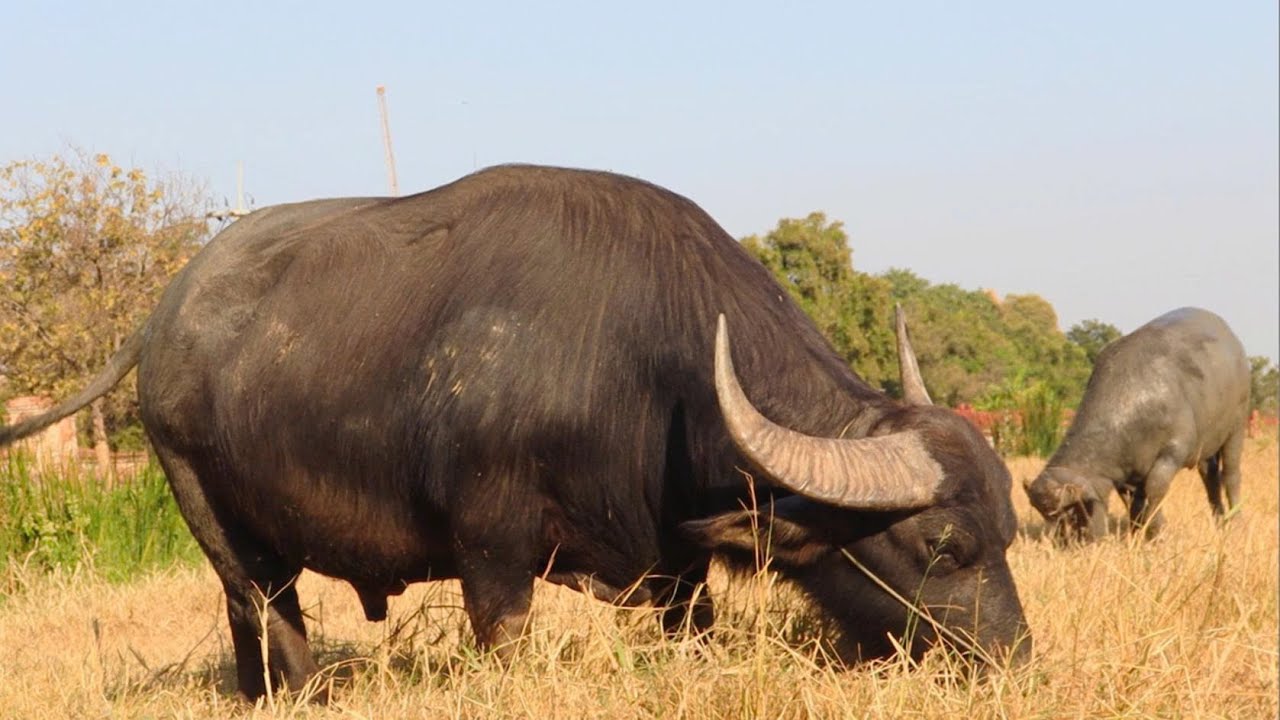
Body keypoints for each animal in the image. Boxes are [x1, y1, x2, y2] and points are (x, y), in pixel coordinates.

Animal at [1, 165, 1030, 700]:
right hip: (206, 509)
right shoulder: (491, 553)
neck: (640, 367)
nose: (1013, 661)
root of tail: (164, 315)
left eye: (1010, 536)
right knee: (268, 610)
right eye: (943, 546)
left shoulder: (678, 567)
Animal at [1024, 307, 1250, 542]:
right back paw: (1220, 521)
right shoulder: (1127, 476)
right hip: (1207, 446)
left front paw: (1158, 534)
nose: (1061, 543)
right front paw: (1137, 533)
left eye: (1072, 511)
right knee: (1210, 477)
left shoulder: (1171, 453)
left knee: (1231, 474)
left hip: (1237, 426)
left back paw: (1236, 523)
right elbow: (1133, 502)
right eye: (1044, 514)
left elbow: (1154, 491)